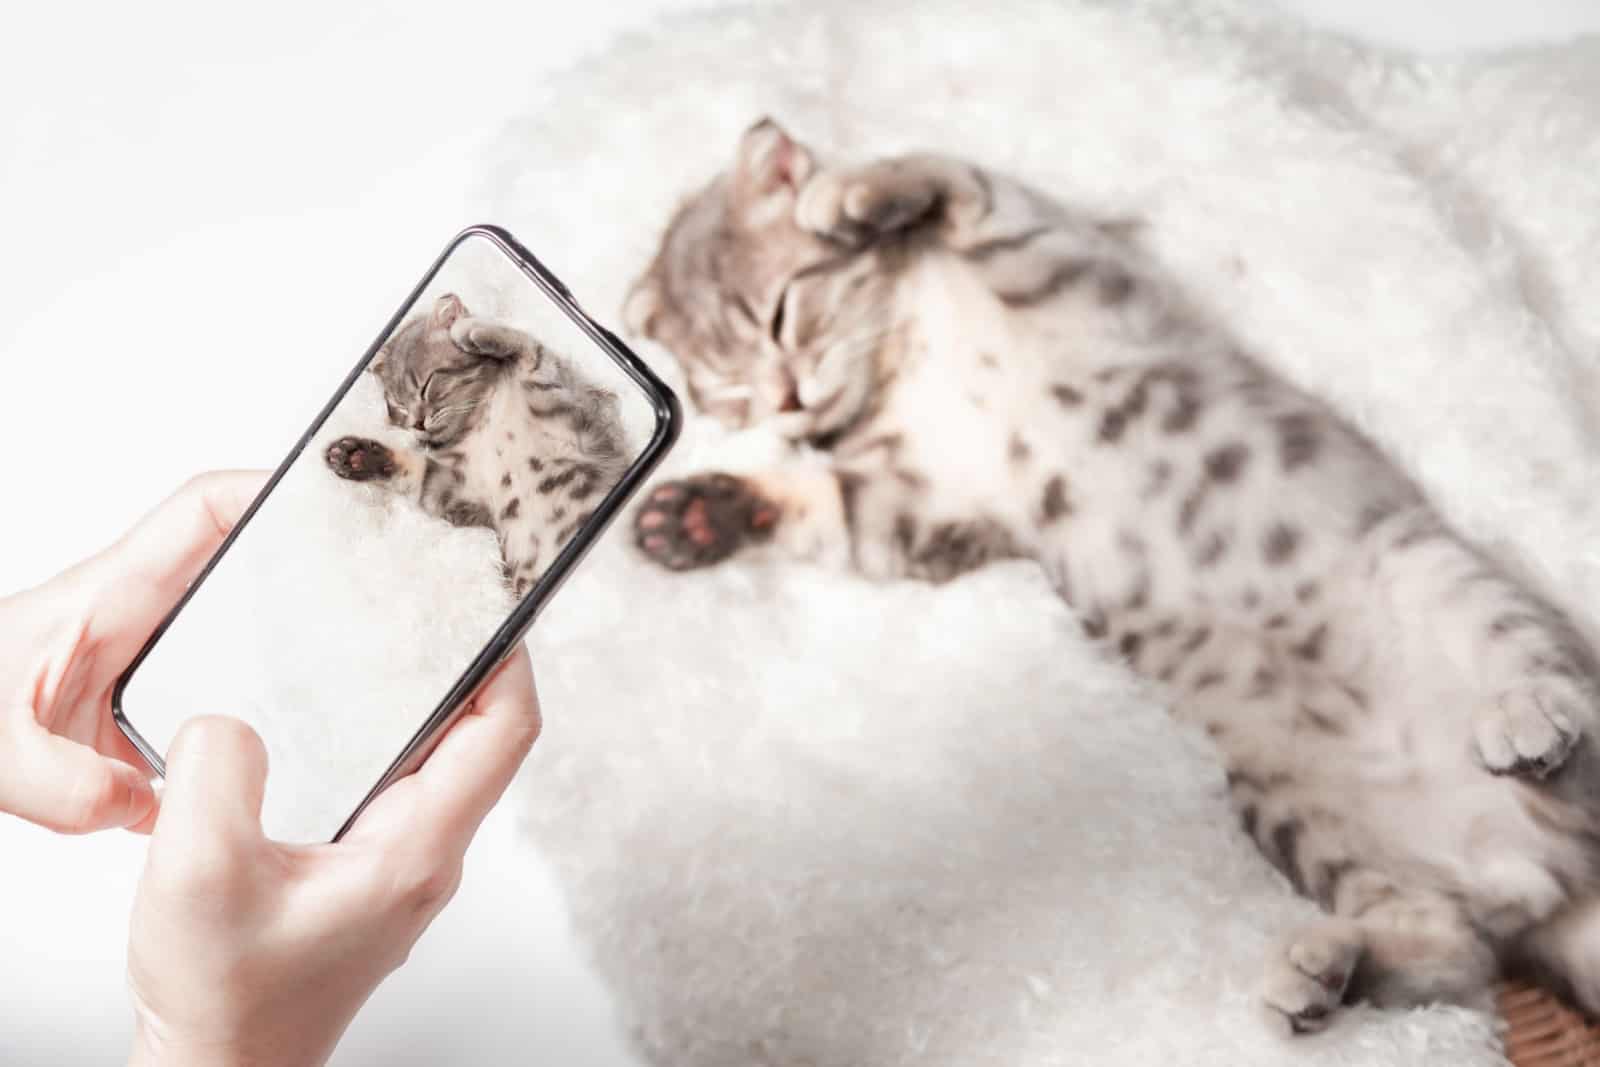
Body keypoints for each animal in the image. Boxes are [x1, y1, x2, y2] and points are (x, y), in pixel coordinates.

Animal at [323, 292, 624, 598]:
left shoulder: (571, 415)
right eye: (398, 406)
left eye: (426, 385)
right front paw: (356, 457)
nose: (417, 424)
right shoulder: (460, 486)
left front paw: (468, 329)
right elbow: (416, 472)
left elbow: (532, 351)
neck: (481, 420)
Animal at [617, 120, 1600, 1030]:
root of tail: (1548, 885)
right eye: (732, 393)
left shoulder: (1049, 247)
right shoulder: (923, 505)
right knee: (1450, 956)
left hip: (1440, 577)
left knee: (1574, 721)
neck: (903, 366)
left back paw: (1527, 717)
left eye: (780, 311)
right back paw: (1324, 972)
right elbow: (825, 504)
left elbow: (954, 173)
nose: (785, 400)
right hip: (1296, 817)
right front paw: (699, 513)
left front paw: (852, 195)